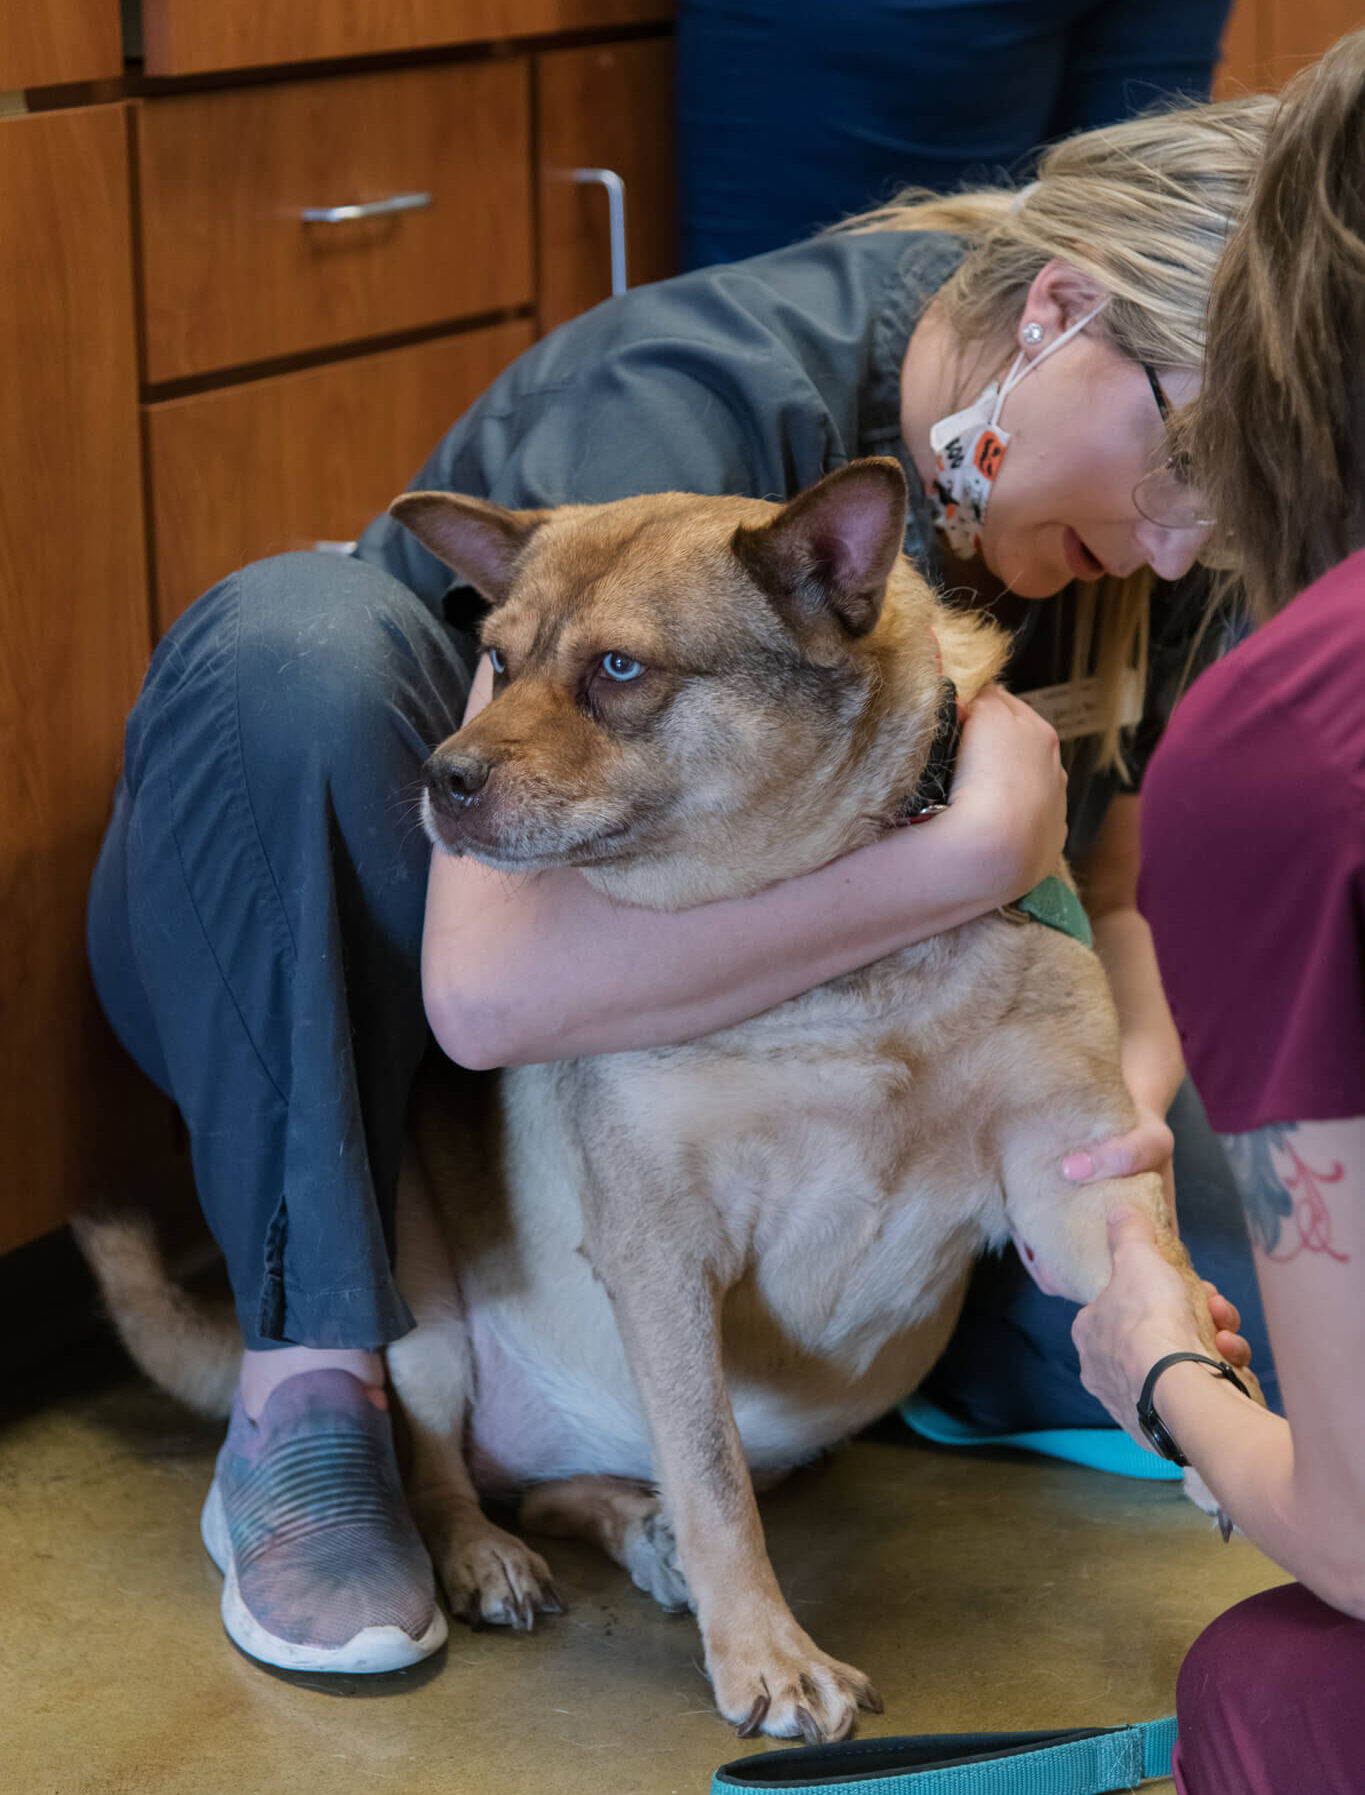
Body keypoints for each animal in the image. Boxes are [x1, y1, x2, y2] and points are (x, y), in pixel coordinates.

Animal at [79, 463, 1242, 1737]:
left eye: (620, 669)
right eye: (497, 660)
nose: (440, 779)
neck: (847, 958)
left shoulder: (1077, 1170)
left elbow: (1166, 1300)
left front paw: (1221, 1421)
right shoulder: (663, 1253)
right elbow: (714, 1480)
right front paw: (768, 1655)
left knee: (573, 1489)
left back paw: (638, 1533)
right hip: (423, 1316)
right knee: (446, 1471)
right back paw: (492, 1553)